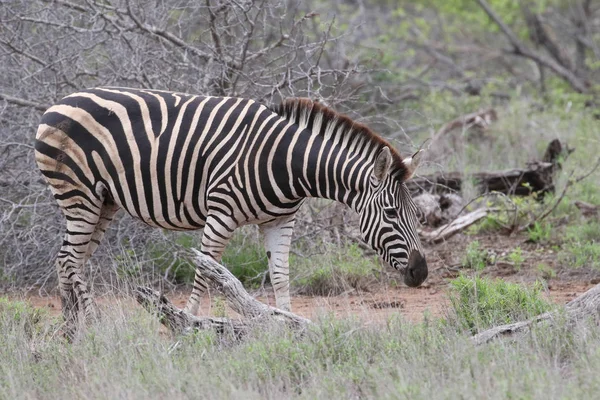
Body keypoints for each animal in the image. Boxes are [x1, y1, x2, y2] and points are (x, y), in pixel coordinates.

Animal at [35, 86, 426, 326]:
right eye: (392, 213)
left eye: (417, 215)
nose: (421, 273)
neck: (286, 163)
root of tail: (59, 102)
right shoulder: (220, 214)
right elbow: (206, 273)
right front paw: (187, 325)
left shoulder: (281, 221)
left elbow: (281, 276)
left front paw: (290, 326)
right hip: (80, 196)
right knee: (68, 260)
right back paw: (93, 327)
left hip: (104, 201)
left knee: (67, 260)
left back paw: (72, 332)